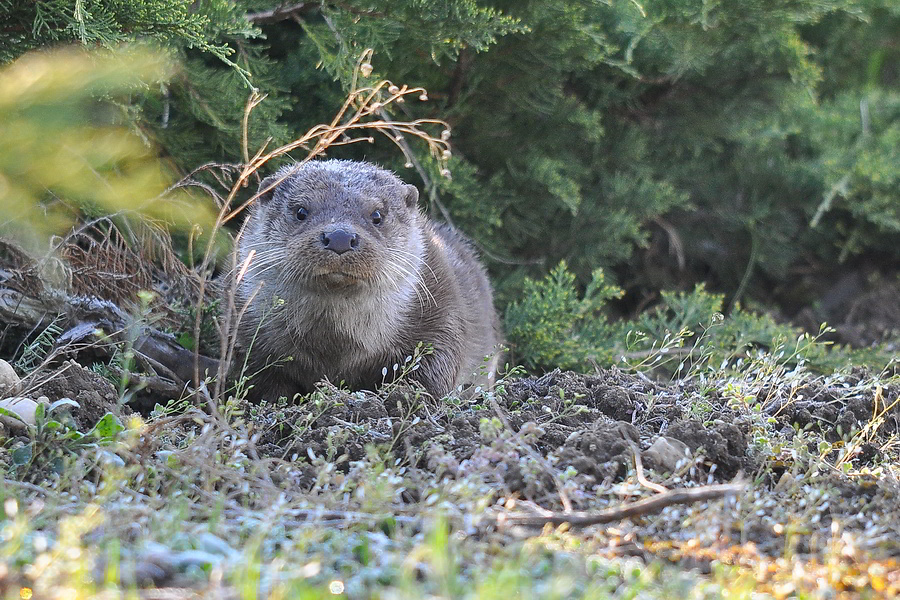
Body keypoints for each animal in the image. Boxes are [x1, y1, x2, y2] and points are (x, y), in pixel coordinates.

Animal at [229, 159, 502, 398]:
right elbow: (261, 378)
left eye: (377, 215)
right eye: (301, 212)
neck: (335, 345)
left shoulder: (441, 311)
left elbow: (434, 368)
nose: (339, 237)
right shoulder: (247, 332)